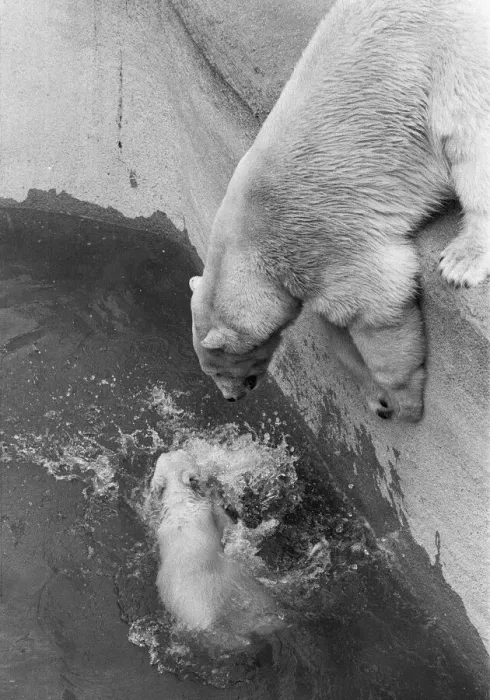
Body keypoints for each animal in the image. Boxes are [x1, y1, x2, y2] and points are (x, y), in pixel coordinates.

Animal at [190, 0, 490, 421]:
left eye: (217, 367)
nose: (231, 398)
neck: (245, 238)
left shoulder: (318, 238)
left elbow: (376, 307)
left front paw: (404, 402)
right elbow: (336, 329)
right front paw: (376, 396)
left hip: (453, 58)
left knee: (467, 134)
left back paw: (464, 259)